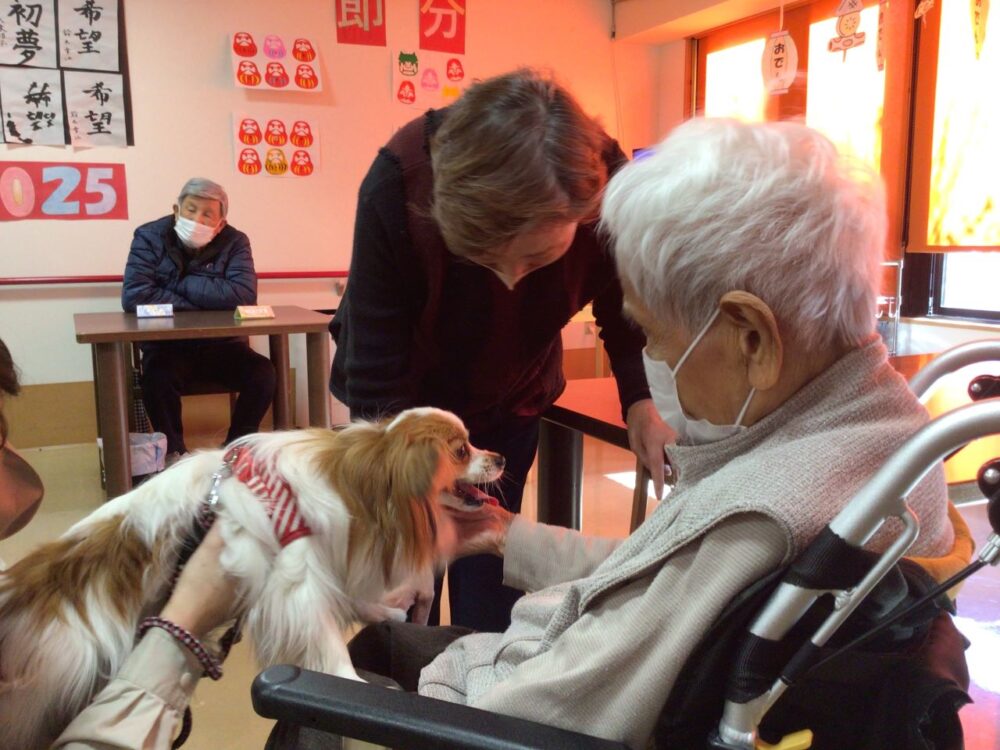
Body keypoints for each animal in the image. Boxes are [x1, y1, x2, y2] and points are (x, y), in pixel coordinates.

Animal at [0, 412, 504, 750]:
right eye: (462, 450)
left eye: (474, 443)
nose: (499, 456)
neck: (360, 477)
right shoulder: (295, 579)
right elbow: (328, 640)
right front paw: (353, 684)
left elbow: (353, 600)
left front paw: (383, 611)